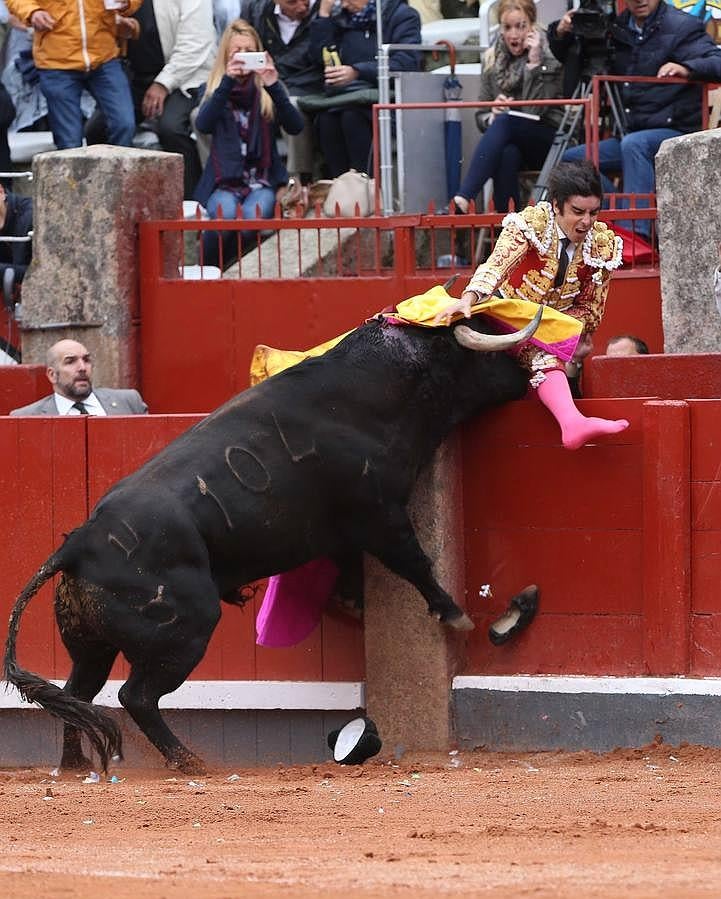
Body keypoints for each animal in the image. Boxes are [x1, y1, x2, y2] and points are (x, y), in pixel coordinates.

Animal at [1, 312, 540, 772]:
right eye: (483, 344)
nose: (542, 368)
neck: (376, 390)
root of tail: (78, 543)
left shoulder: (344, 528)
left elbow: (350, 564)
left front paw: (352, 603)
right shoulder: (380, 513)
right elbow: (415, 562)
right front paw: (455, 614)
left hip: (90, 644)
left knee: (77, 693)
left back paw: (73, 765)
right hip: (187, 629)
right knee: (136, 696)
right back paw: (189, 762)